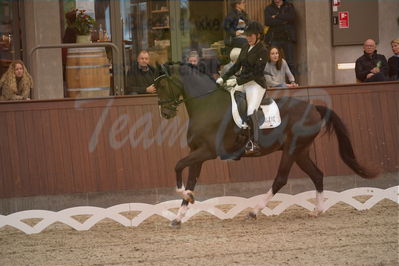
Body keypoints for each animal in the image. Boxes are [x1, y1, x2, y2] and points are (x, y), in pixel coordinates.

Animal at [154, 63, 378, 228]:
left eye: (162, 86)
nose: (165, 113)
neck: (206, 105)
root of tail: (314, 108)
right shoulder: (197, 152)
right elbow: (191, 180)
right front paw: (179, 215)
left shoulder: (207, 152)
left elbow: (177, 166)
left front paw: (185, 197)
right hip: (301, 152)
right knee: (317, 175)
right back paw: (316, 211)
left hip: (292, 150)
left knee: (280, 179)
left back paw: (254, 211)